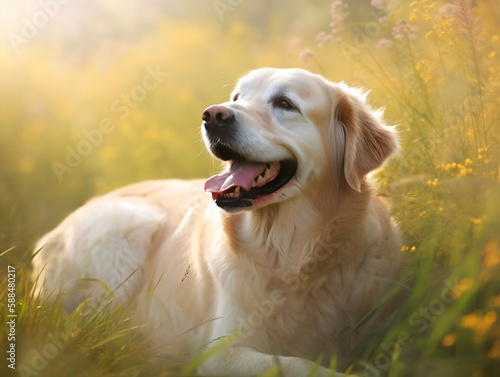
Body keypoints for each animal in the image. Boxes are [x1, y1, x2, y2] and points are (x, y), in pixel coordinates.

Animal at [33, 68, 402, 376]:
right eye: (237, 97)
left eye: (285, 103)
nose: (213, 115)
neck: (291, 258)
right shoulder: (221, 353)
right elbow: (294, 363)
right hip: (125, 233)